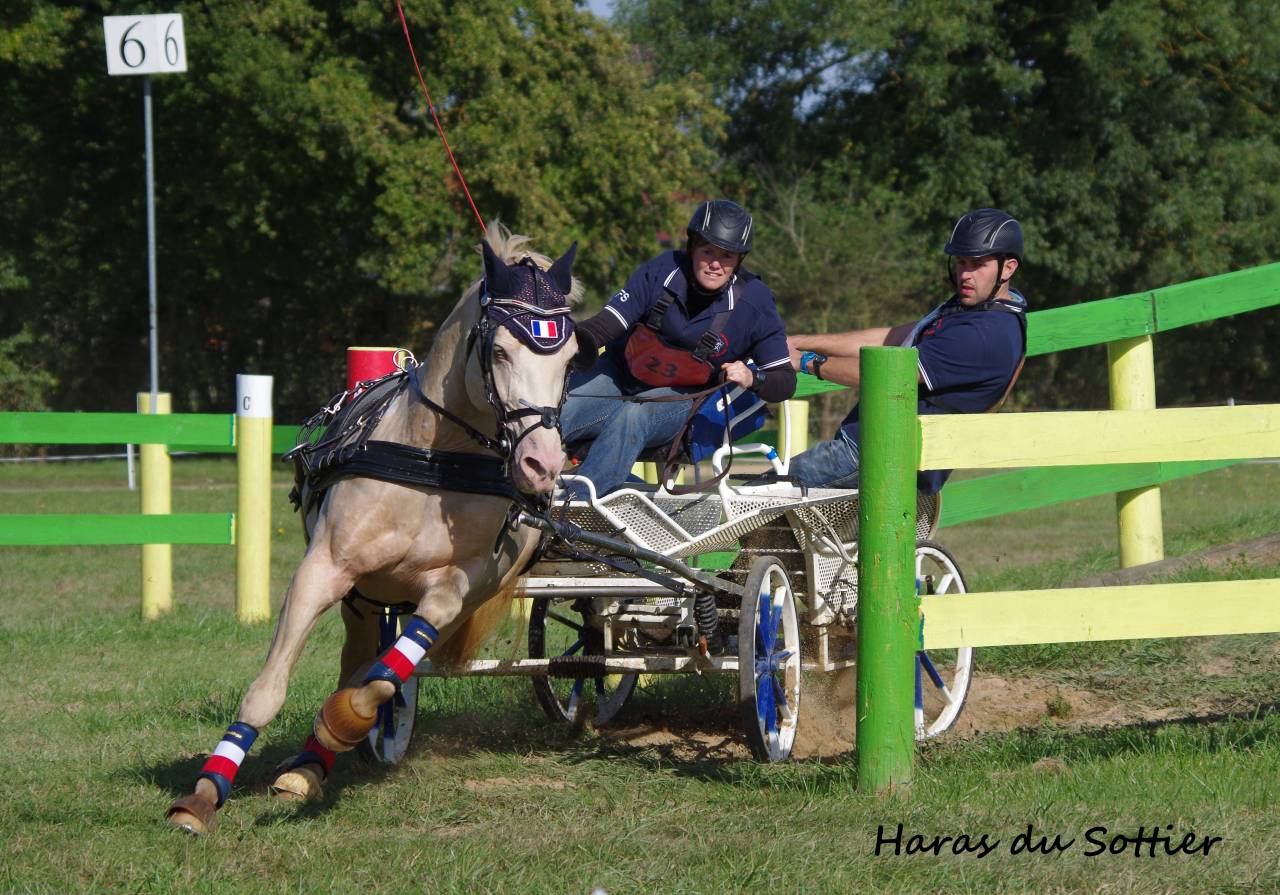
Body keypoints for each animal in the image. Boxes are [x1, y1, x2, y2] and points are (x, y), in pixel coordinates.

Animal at [166, 225, 581, 833]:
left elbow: (386, 677)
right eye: (500, 350)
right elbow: (268, 690)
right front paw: (202, 795)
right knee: (356, 657)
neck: (435, 463)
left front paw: (343, 722)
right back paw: (306, 769)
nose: (542, 464)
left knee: (374, 666)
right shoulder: (323, 570)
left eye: (572, 360)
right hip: (362, 598)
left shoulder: (461, 587)